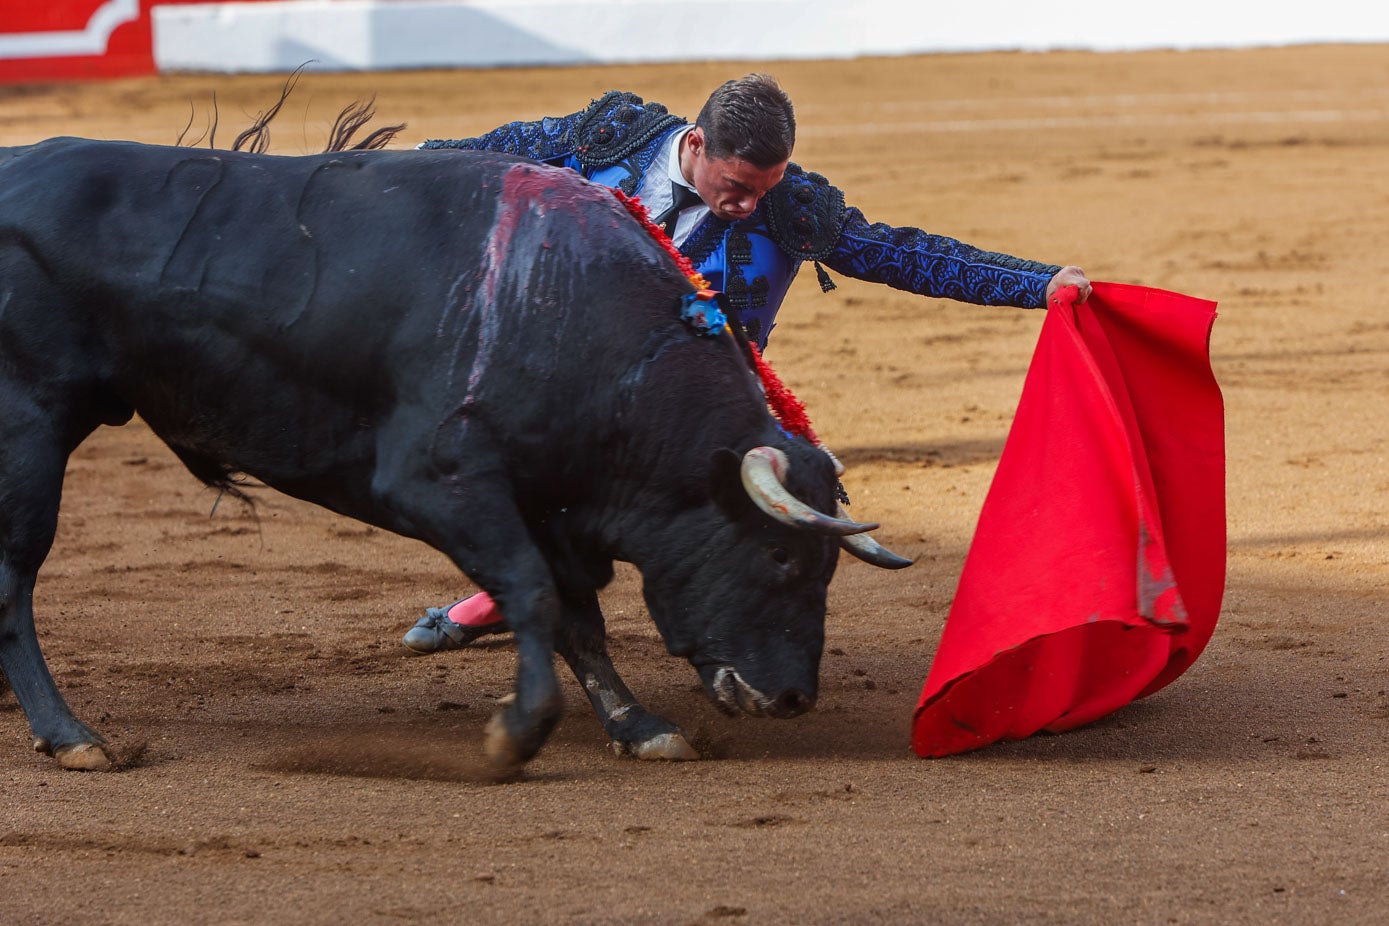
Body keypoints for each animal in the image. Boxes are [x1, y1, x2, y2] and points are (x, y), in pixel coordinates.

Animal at [0, 137, 905, 777]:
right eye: (782, 556)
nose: (791, 697)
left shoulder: (548, 506)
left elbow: (578, 618)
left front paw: (639, 726)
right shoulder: (440, 483)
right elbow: (534, 595)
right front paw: (519, 733)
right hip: (30, 428)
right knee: (15, 582)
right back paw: (71, 735)